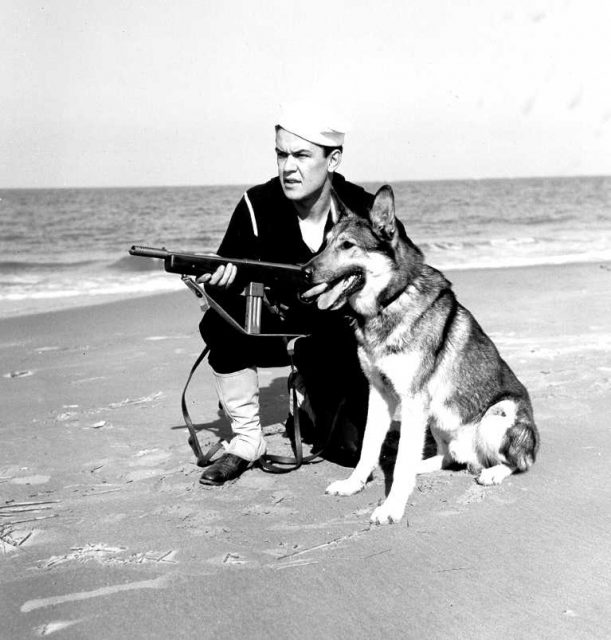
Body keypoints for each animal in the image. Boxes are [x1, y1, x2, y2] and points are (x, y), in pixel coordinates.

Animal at [302, 185, 540, 524]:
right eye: (325, 244)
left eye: (347, 245)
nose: (303, 272)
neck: (389, 302)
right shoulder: (380, 394)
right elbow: (368, 447)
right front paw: (353, 485)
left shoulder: (413, 401)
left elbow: (401, 462)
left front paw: (391, 507)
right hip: (438, 418)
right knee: (449, 456)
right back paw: (428, 465)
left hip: (497, 414)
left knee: (517, 463)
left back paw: (493, 472)